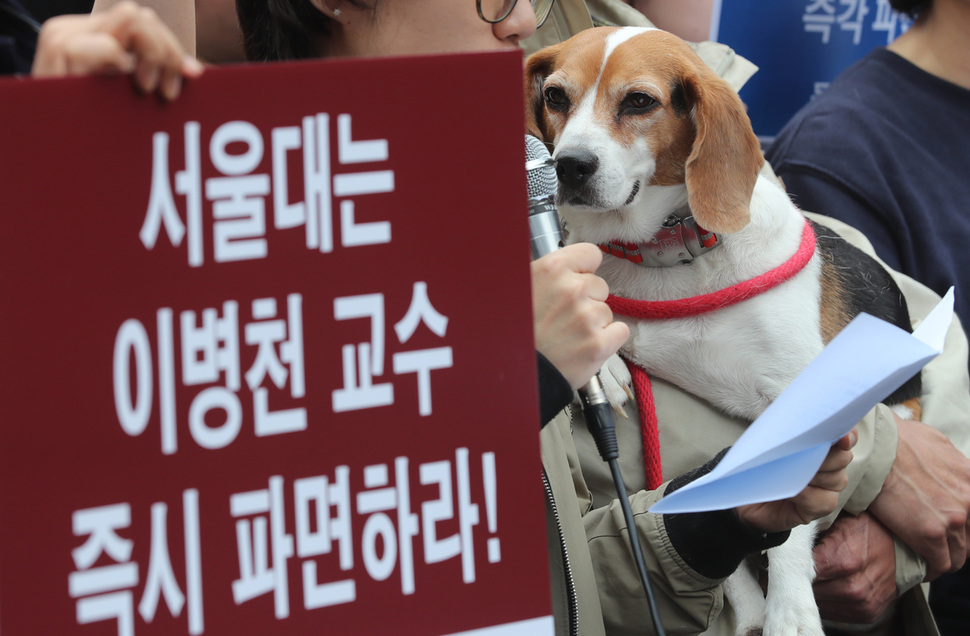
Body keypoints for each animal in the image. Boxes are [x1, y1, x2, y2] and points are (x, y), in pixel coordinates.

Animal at [524, 26, 920, 636]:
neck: (665, 256)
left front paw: (790, 608)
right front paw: (601, 360)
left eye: (639, 101)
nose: (568, 165)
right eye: (555, 96)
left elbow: (788, 519)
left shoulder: (798, 398)